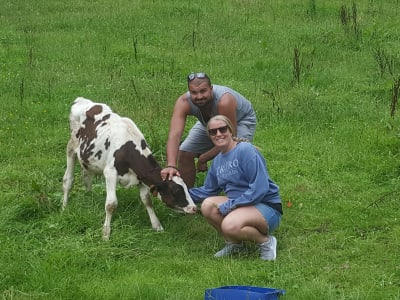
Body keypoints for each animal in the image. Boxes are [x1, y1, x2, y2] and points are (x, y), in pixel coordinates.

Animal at [61, 97, 197, 240]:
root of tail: (83, 100)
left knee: (87, 177)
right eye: (175, 190)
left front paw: (157, 225)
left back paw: (90, 198)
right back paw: (64, 207)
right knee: (67, 180)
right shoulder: (110, 173)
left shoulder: (141, 176)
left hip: (88, 159)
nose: (194, 208)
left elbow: (147, 200)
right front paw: (106, 233)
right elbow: (111, 204)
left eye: (186, 187)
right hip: (71, 147)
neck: (129, 148)